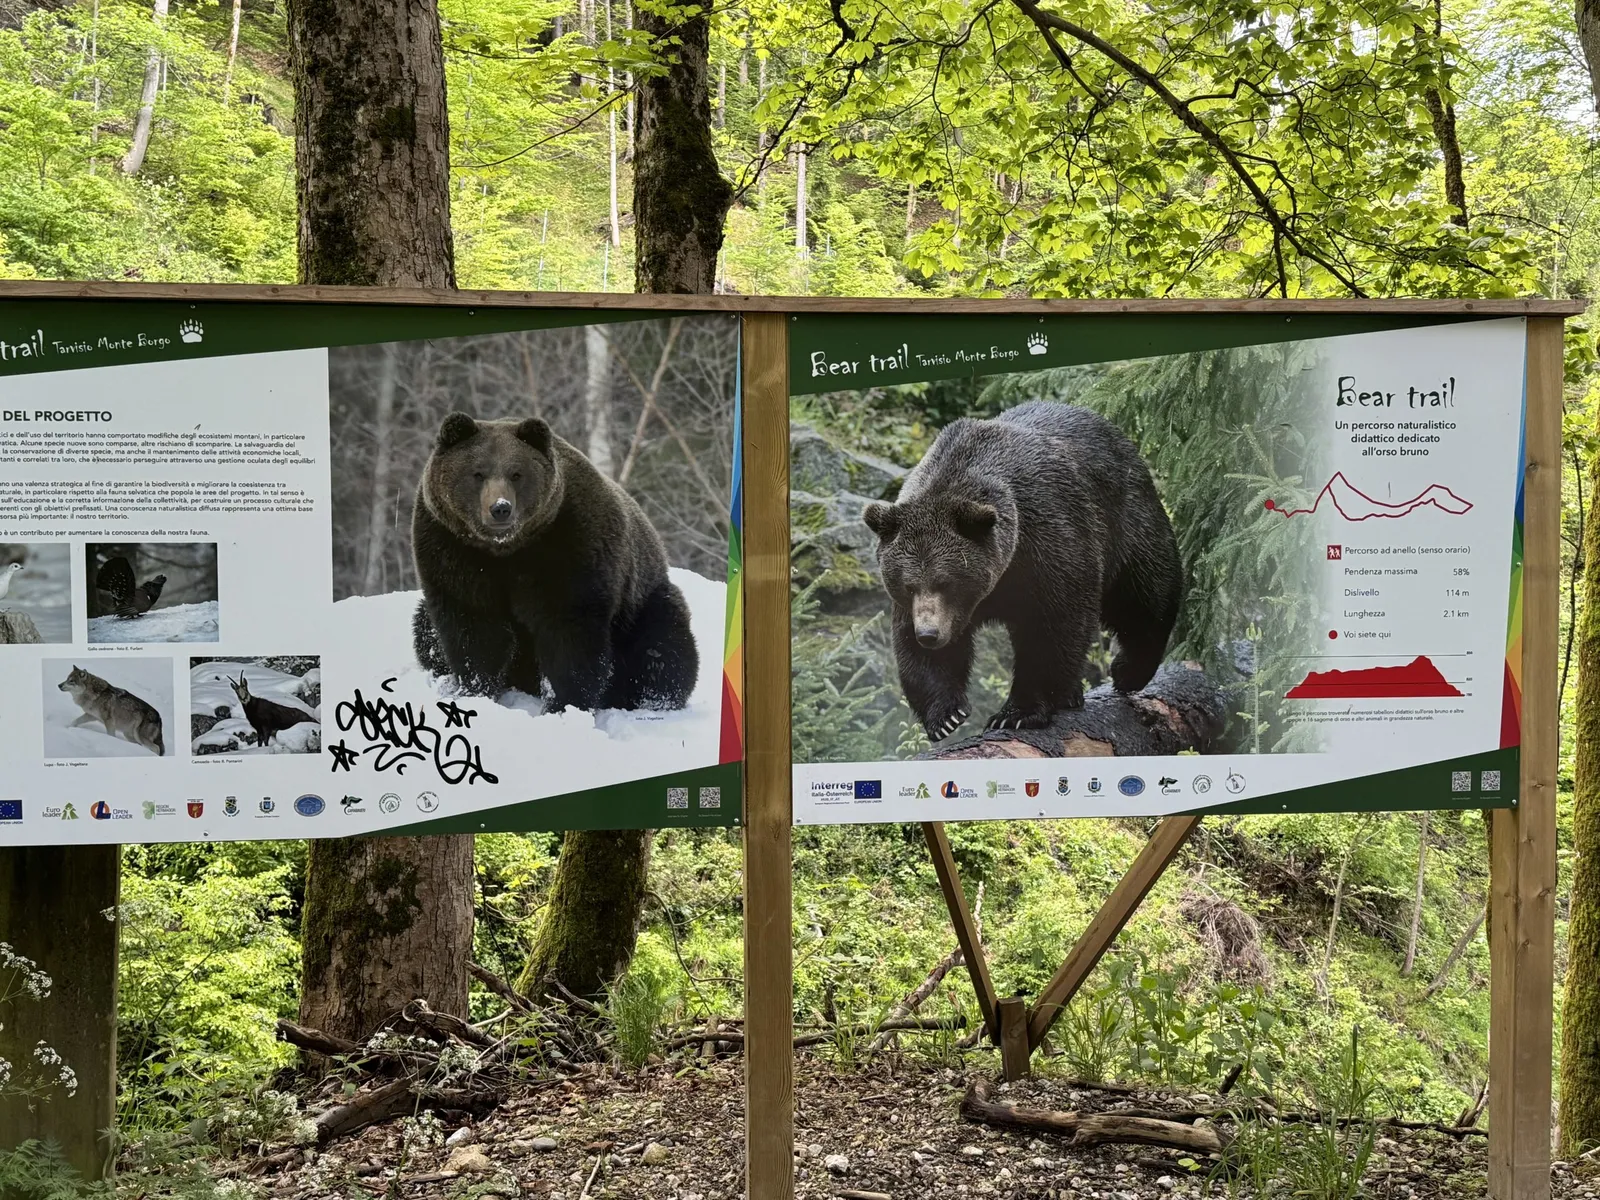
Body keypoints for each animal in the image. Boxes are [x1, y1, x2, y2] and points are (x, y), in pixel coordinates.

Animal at [410, 411, 699, 712]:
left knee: (663, 646)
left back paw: (653, 700)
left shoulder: (569, 547)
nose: (500, 508)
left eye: (517, 474)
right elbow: (473, 625)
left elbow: (568, 634)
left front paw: (564, 703)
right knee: (424, 628)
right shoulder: (452, 547)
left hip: (640, 602)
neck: (505, 548)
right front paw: (475, 689)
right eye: (477, 473)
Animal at [863, 400, 1183, 742]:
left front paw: (1018, 713)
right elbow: (915, 648)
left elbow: (1052, 627)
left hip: (1125, 520)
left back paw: (1127, 672)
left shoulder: (1048, 540)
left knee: (1144, 594)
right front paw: (946, 715)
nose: (929, 634)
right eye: (908, 585)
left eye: (946, 582)